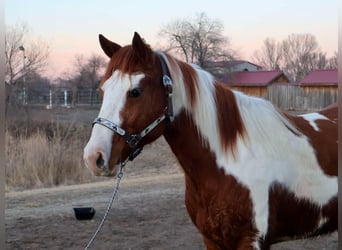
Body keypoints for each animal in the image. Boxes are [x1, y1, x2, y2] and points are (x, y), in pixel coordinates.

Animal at [83, 32, 336, 250]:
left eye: (135, 92)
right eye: (102, 90)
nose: (94, 157)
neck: (229, 161)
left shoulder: (251, 240)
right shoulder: (212, 239)